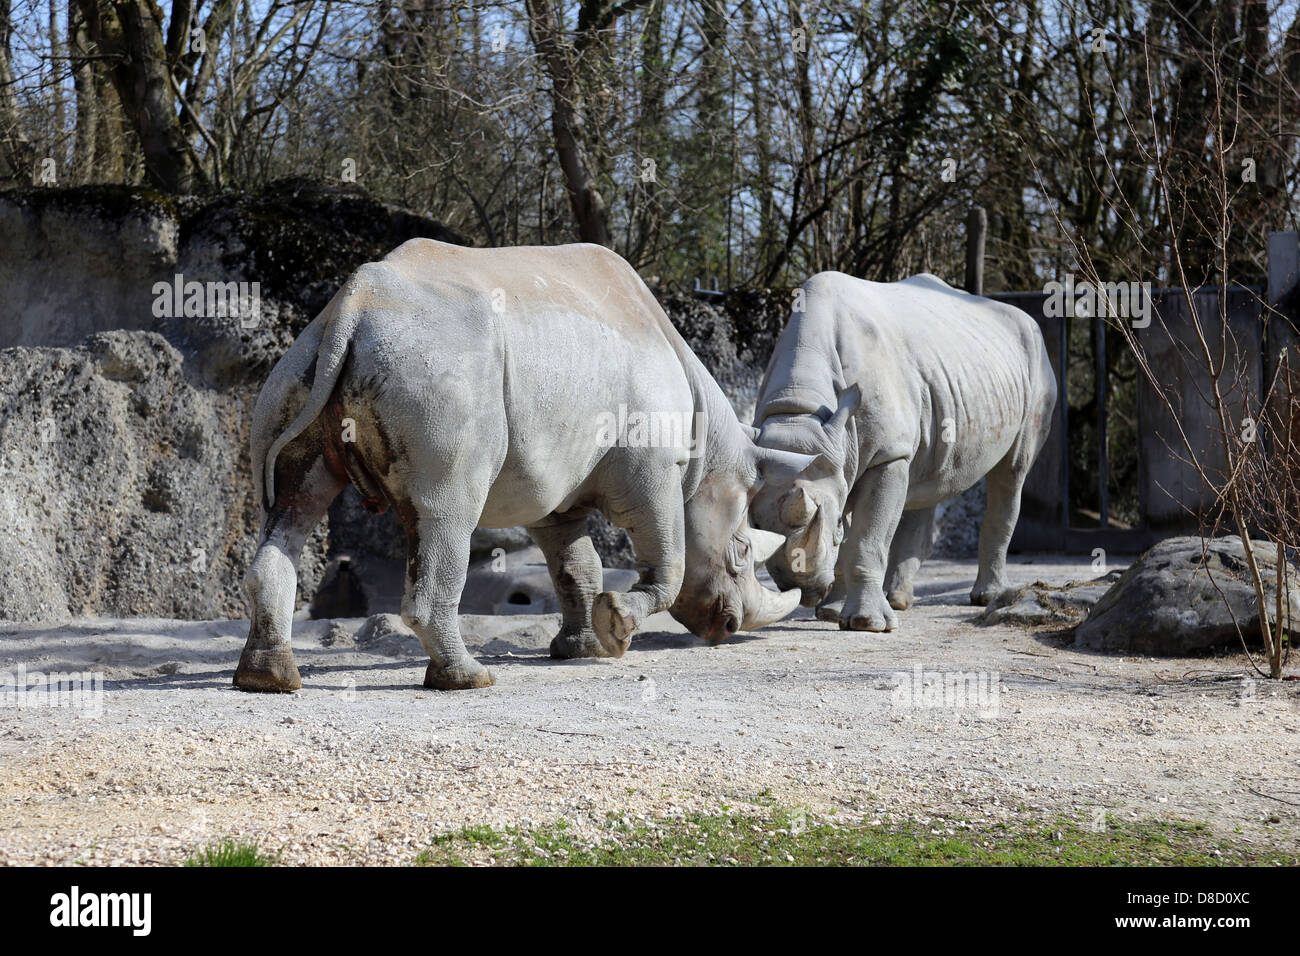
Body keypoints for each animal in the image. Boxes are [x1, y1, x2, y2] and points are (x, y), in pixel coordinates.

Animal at [233, 235, 811, 691]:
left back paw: (268, 680)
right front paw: (617, 629)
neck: (707, 452)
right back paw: (468, 679)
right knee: (447, 513)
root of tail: (350, 309)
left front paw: (581, 649)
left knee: (293, 504)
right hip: (436, 373)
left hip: (295, 367)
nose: (727, 628)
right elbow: (669, 563)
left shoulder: (553, 487)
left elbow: (576, 564)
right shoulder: (656, 473)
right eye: (742, 552)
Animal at [748, 273, 1060, 632]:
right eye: (754, 523)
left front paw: (866, 623)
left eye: (830, 525)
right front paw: (832, 612)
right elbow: (856, 533)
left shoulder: (886, 454)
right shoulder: (841, 455)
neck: (799, 413)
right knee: (927, 478)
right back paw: (898, 599)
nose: (801, 586)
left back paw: (985, 597)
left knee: (1011, 472)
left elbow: (865, 539)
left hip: (1037, 363)